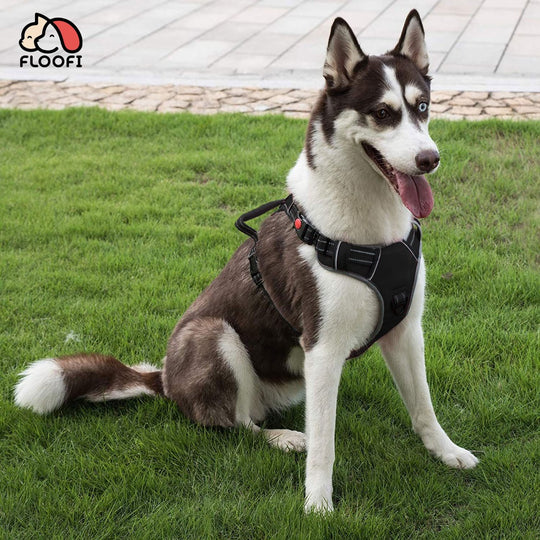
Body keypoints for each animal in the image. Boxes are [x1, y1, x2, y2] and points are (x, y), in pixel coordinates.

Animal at [14, 10, 476, 512]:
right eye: (383, 113)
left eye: (423, 107)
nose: (429, 160)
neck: (372, 229)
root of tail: (165, 381)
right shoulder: (322, 347)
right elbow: (325, 443)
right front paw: (318, 504)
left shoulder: (405, 331)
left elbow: (423, 407)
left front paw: (445, 451)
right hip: (213, 334)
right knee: (235, 425)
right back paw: (282, 438)